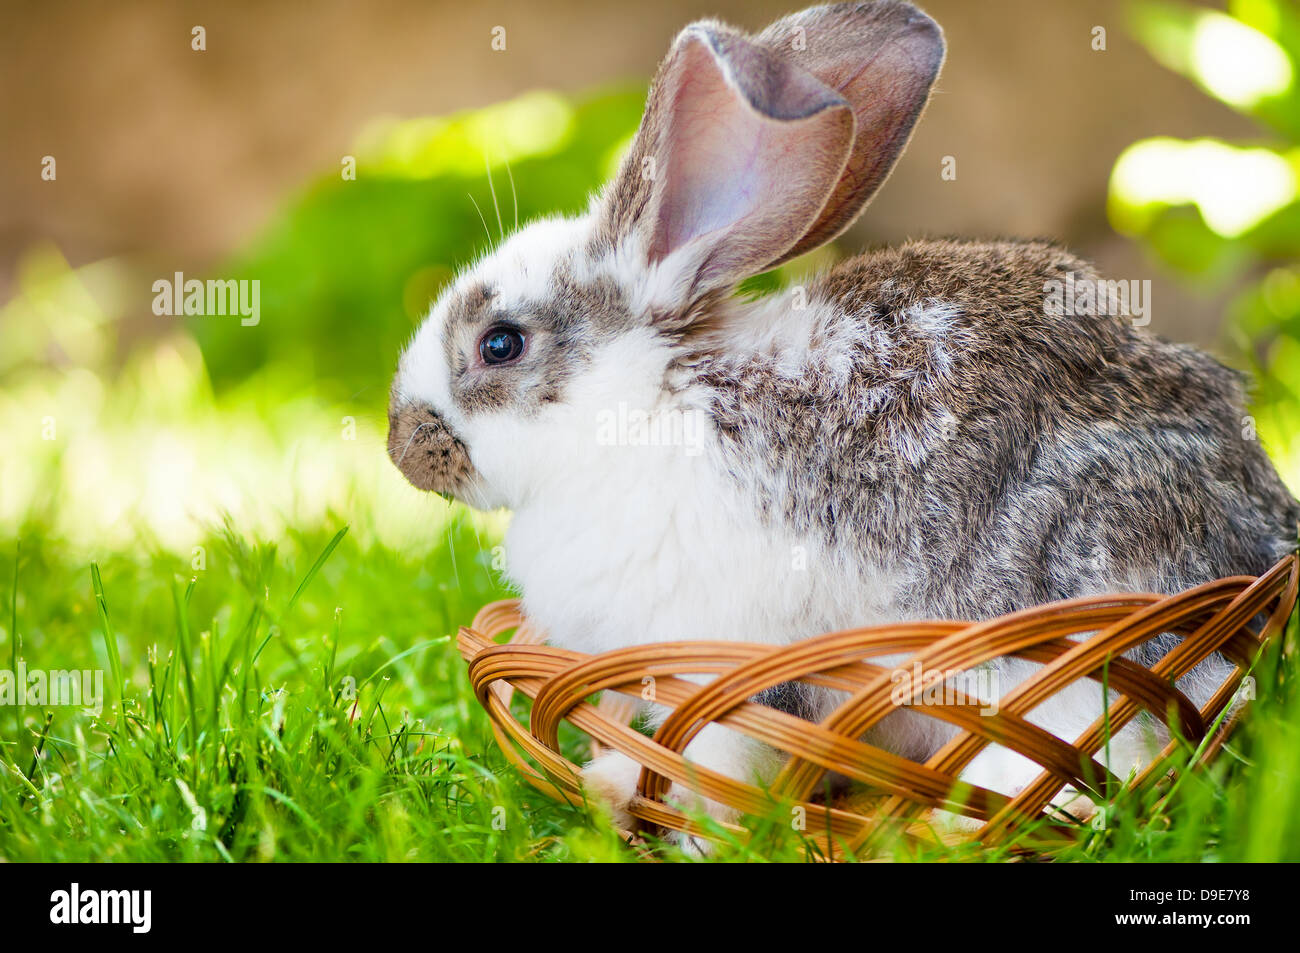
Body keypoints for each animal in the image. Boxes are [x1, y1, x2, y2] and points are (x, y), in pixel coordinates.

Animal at [384, 0, 1300, 842]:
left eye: (500, 343)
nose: (401, 448)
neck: (645, 402)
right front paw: (616, 785)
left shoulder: (733, 658)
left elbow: (724, 756)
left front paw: (682, 822)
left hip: (1067, 634)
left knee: (1121, 757)